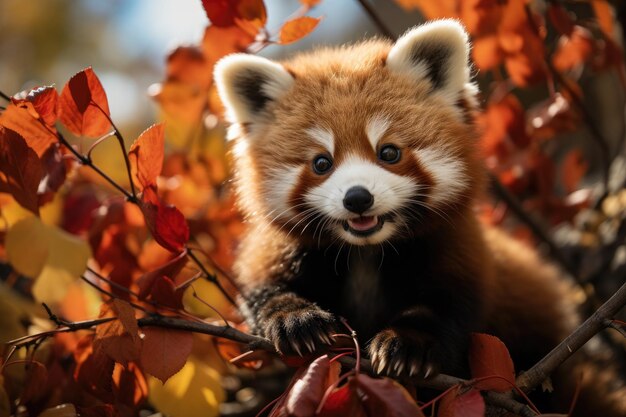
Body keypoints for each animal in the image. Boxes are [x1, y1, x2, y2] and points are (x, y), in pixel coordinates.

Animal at [216, 18, 624, 416]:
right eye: (321, 163)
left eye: (389, 152)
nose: (357, 198)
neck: (365, 251)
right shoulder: (282, 247)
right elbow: (264, 286)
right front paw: (294, 318)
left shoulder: (456, 247)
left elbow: (446, 304)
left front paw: (406, 343)